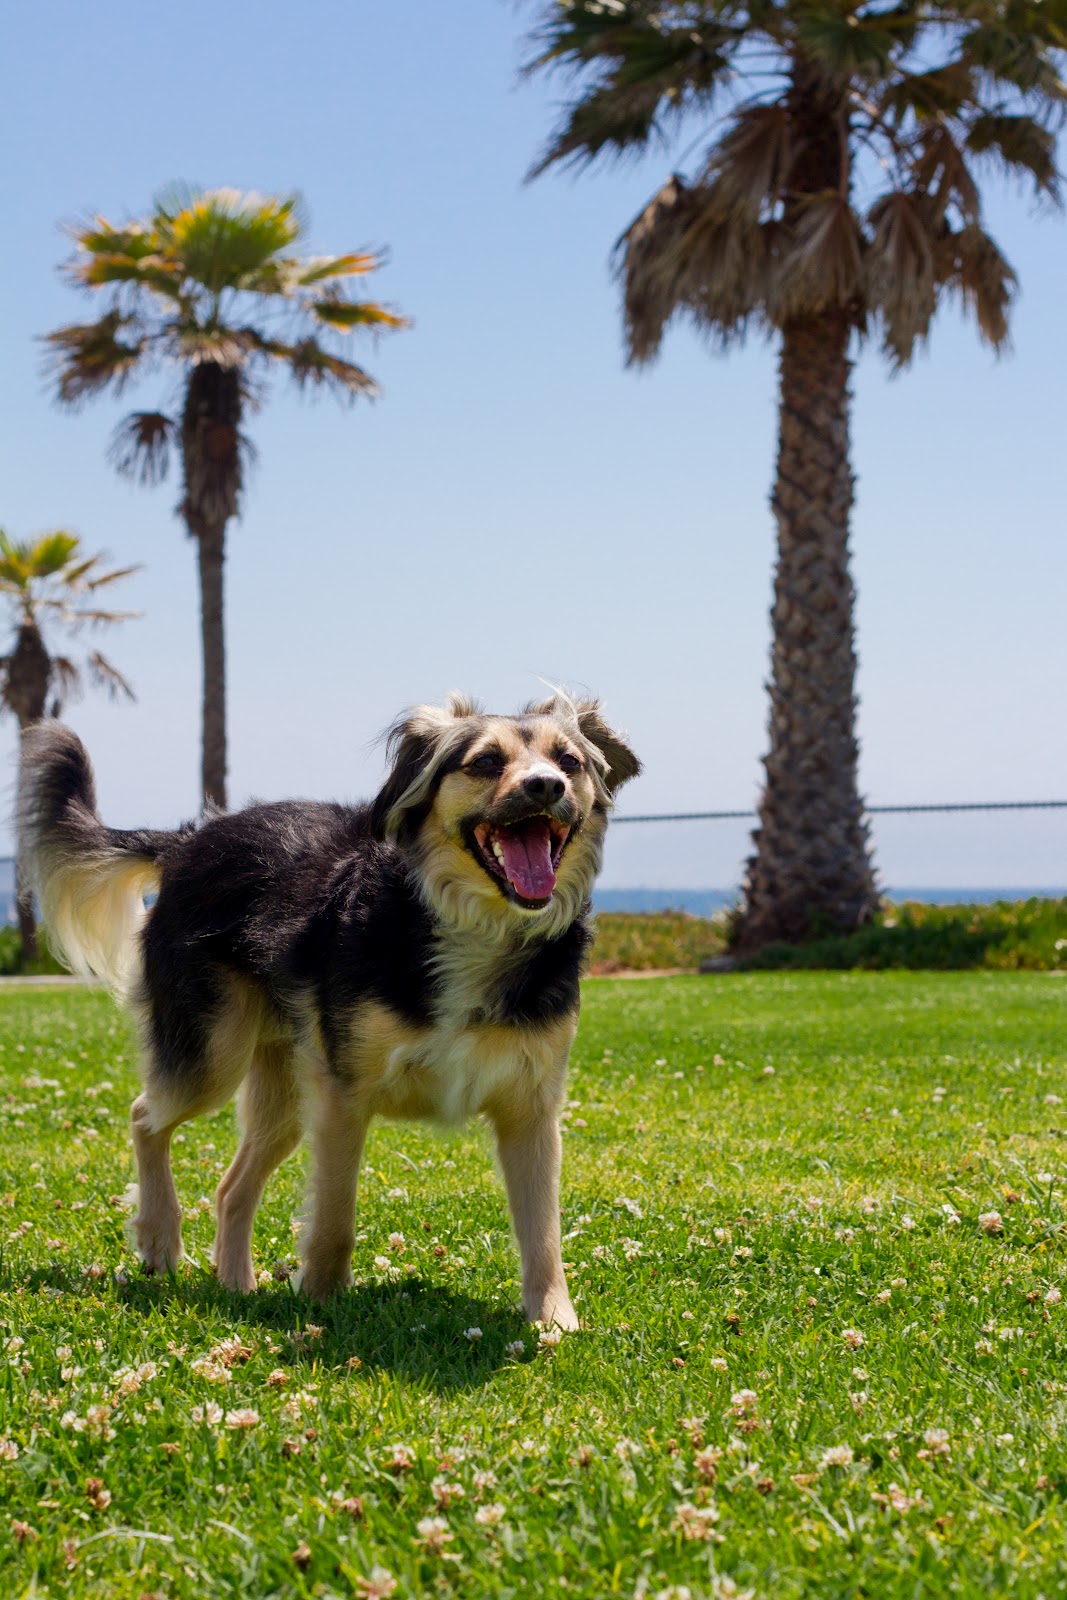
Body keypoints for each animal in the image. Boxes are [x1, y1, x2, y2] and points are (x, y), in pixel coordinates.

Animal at [20, 692, 640, 1328]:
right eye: (487, 761)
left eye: (569, 762)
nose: (545, 787)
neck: (472, 924)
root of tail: (188, 841)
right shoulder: (344, 1093)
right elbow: (335, 1215)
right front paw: (320, 1299)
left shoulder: (531, 1109)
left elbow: (543, 1230)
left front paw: (553, 1320)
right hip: (213, 1052)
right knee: (146, 1116)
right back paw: (160, 1239)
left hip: (286, 1088)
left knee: (230, 1188)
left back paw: (235, 1285)